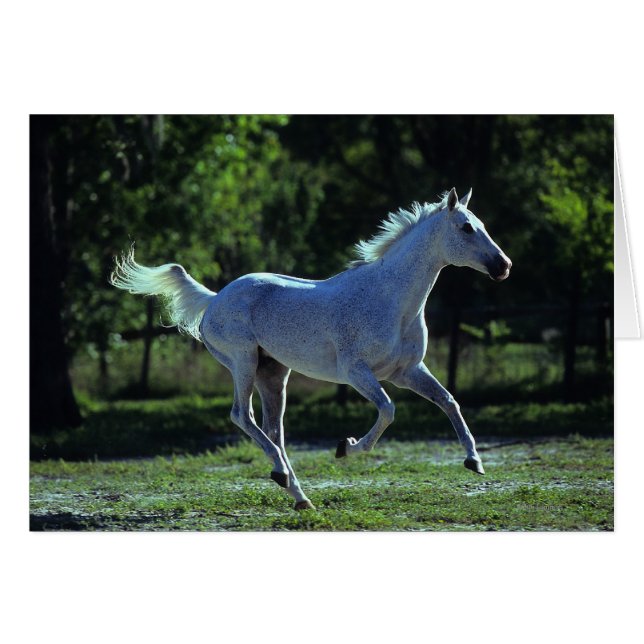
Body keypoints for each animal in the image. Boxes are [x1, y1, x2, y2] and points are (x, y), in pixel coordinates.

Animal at [111, 187, 512, 510]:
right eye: (466, 227)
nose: (504, 266)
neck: (391, 298)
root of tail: (214, 300)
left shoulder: (406, 371)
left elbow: (449, 401)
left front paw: (474, 462)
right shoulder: (357, 372)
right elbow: (388, 410)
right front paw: (346, 447)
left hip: (273, 375)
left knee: (274, 431)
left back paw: (298, 494)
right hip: (243, 362)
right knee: (242, 416)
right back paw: (283, 477)